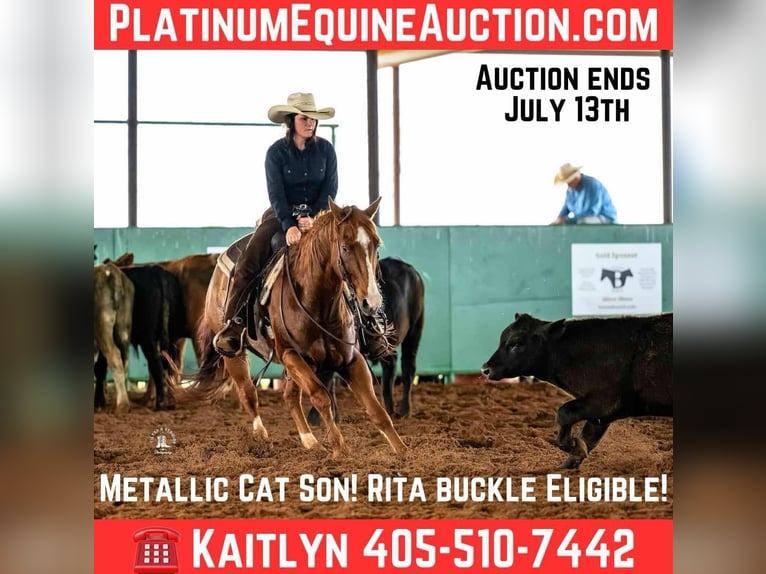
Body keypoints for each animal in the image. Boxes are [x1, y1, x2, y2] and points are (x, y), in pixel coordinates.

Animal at [190, 197, 406, 459]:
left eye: (376, 244)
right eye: (345, 247)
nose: (371, 302)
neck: (319, 303)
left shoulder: (351, 359)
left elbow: (376, 409)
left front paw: (404, 451)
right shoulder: (291, 354)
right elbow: (321, 397)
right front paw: (339, 448)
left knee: (289, 396)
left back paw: (309, 440)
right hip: (235, 353)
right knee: (248, 393)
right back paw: (262, 437)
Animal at [307, 256, 425, 425]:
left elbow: (326, 379)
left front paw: (315, 417)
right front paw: (333, 416)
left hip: (415, 330)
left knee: (408, 368)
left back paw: (404, 410)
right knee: (390, 365)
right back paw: (389, 408)